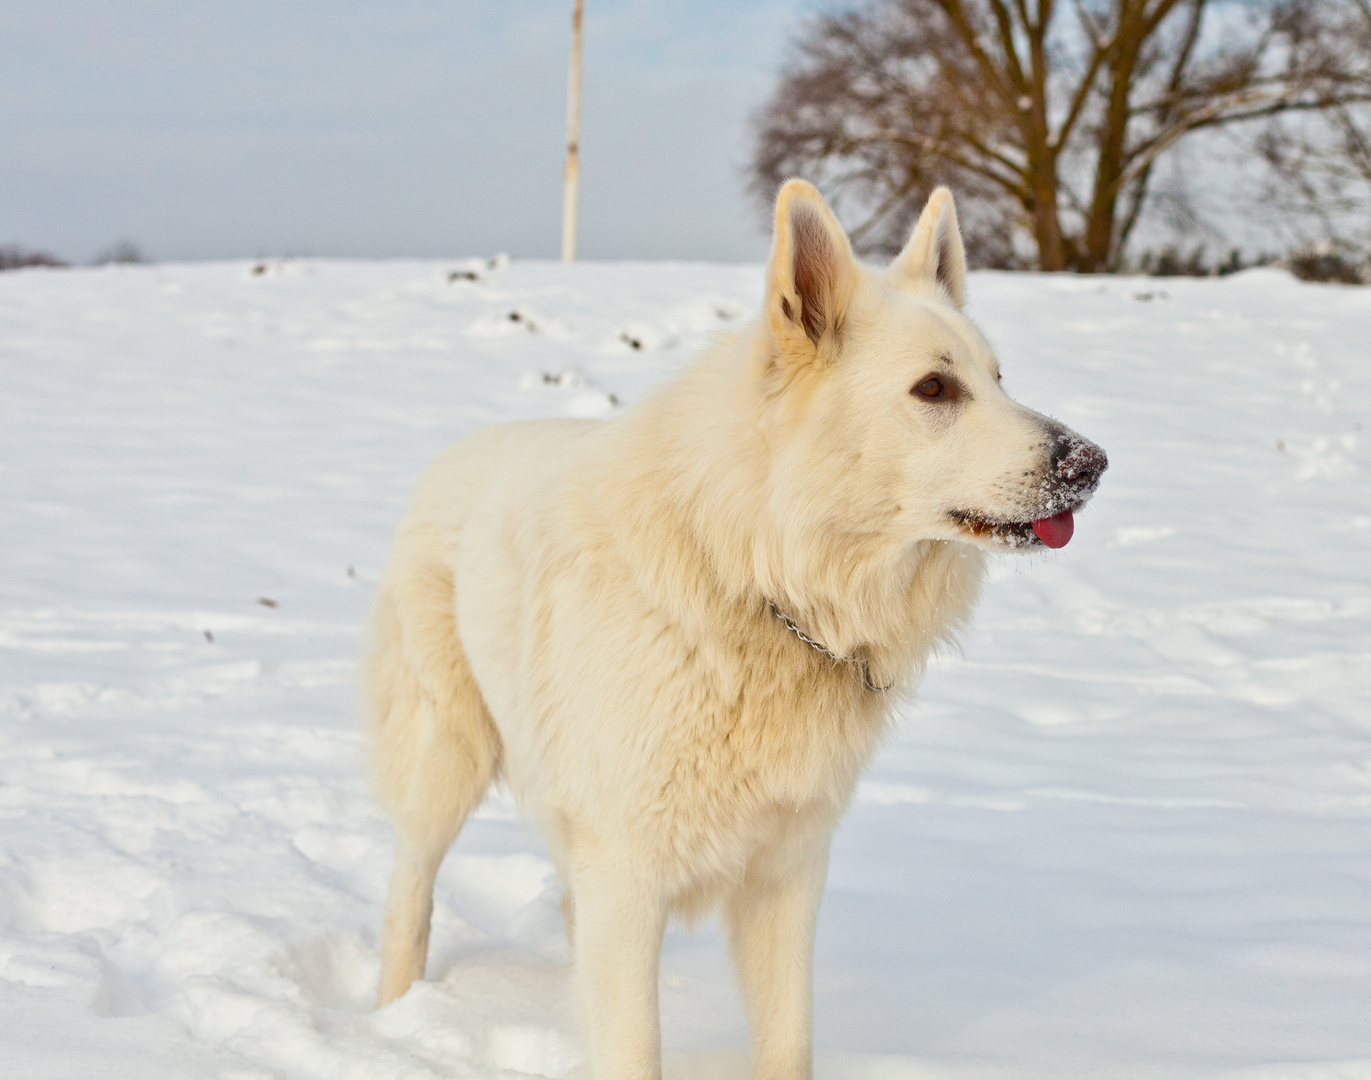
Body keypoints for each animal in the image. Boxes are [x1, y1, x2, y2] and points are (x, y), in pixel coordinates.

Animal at [361, 180, 1102, 1074]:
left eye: (997, 379)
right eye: (934, 389)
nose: (1092, 463)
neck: (754, 577)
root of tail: (462, 447)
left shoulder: (786, 875)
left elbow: (786, 1044)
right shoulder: (627, 870)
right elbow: (631, 1048)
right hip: (446, 758)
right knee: (409, 891)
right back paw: (392, 1017)